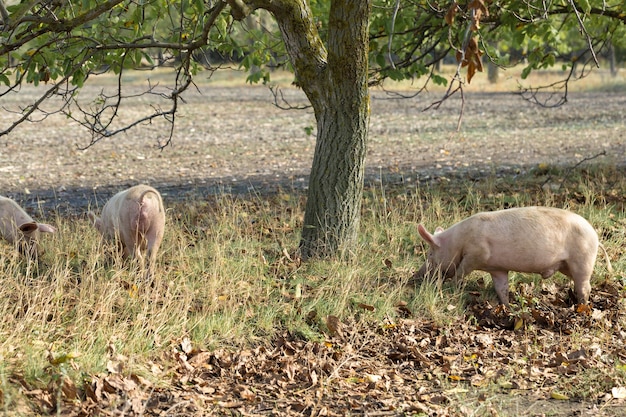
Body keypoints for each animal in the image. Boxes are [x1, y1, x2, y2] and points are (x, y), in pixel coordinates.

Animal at [414, 206, 608, 308]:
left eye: (430, 253)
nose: (416, 276)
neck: (457, 242)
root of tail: (596, 236)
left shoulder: (477, 253)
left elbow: (461, 271)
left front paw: (453, 287)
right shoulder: (497, 269)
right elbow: (502, 288)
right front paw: (507, 306)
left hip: (582, 260)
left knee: (585, 286)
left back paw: (582, 307)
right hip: (566, 266)